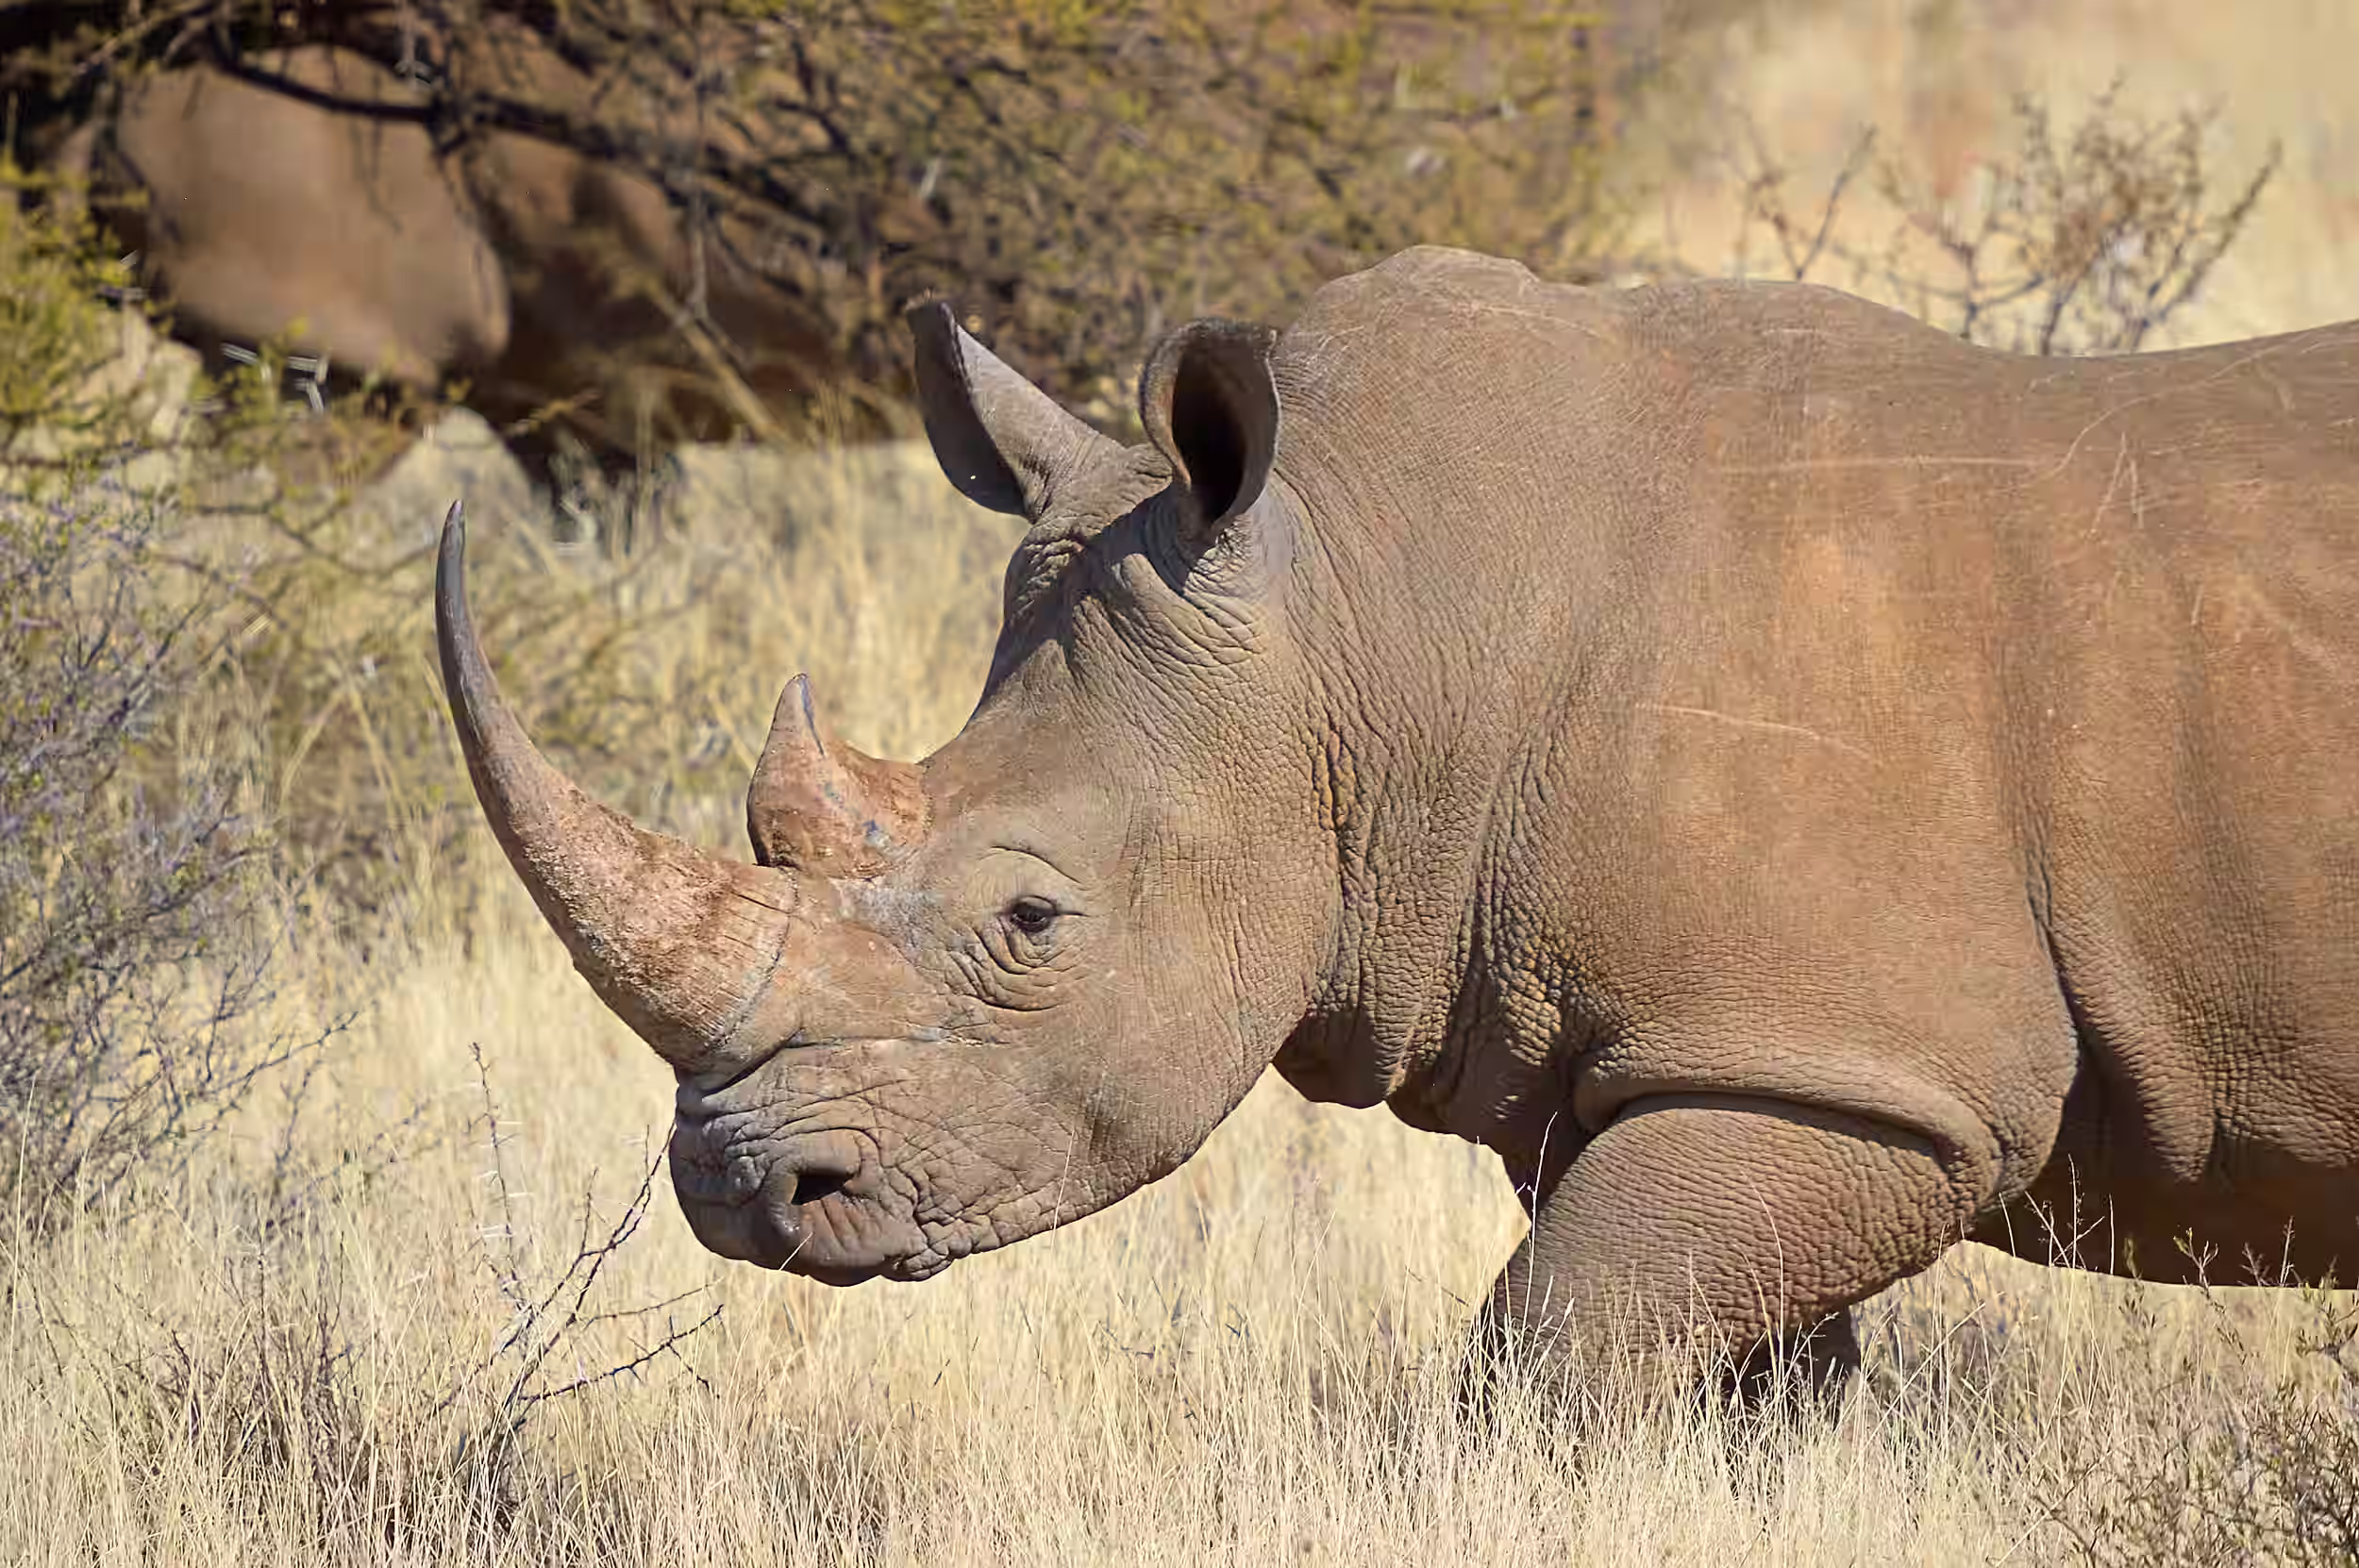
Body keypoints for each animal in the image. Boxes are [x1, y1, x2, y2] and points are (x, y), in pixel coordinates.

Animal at [437, 245, 2359, 1394]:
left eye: (1031, 921)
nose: (739, 1188)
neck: (1377, 615)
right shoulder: (1699, 1058)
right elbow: (1718, 1365)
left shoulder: (1858, 1068)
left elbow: (1555, 1353)